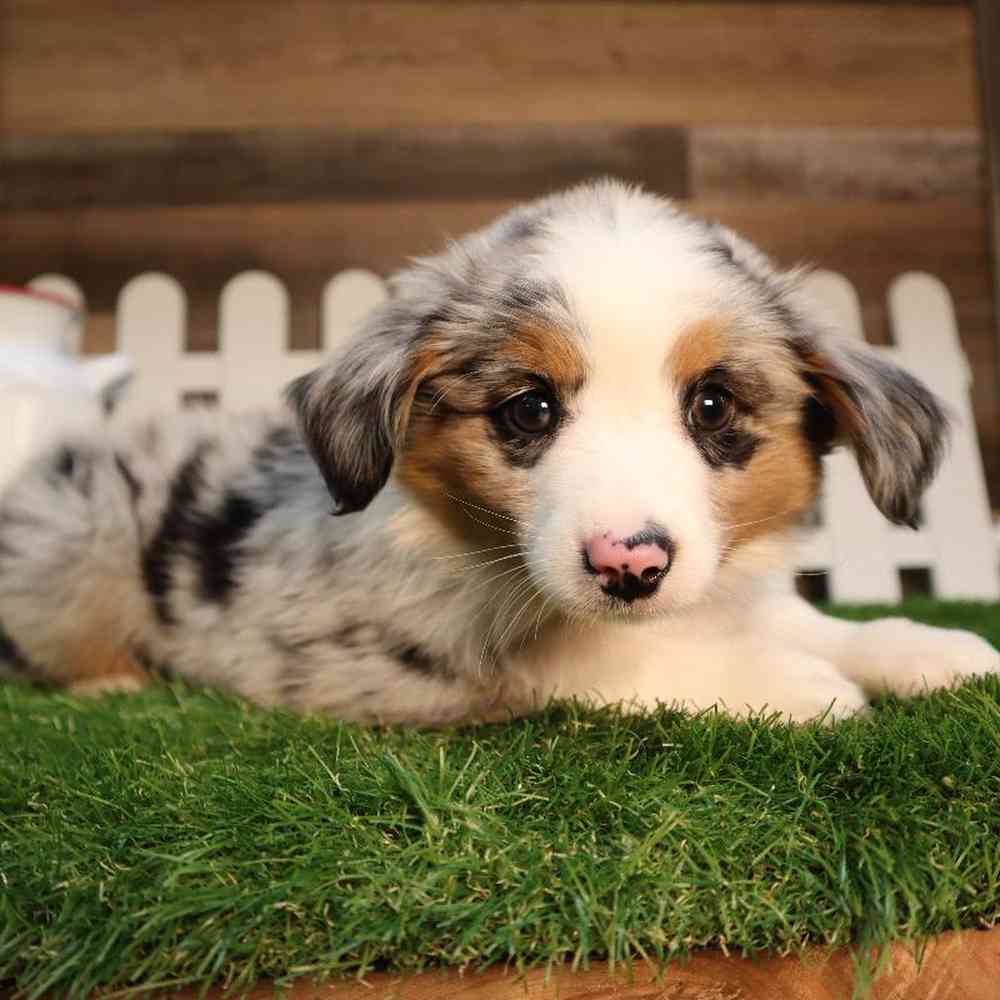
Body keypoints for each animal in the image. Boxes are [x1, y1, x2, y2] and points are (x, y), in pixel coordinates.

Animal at [1, 180, 1000, 724]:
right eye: (530, 409)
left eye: (713, 405)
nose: (629, 566)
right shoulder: (414, 654)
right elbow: (602, 664)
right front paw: (801, 689)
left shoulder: (725, 590)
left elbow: (807, 622)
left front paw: (933, 652)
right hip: (77, 544)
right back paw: (112, 685)